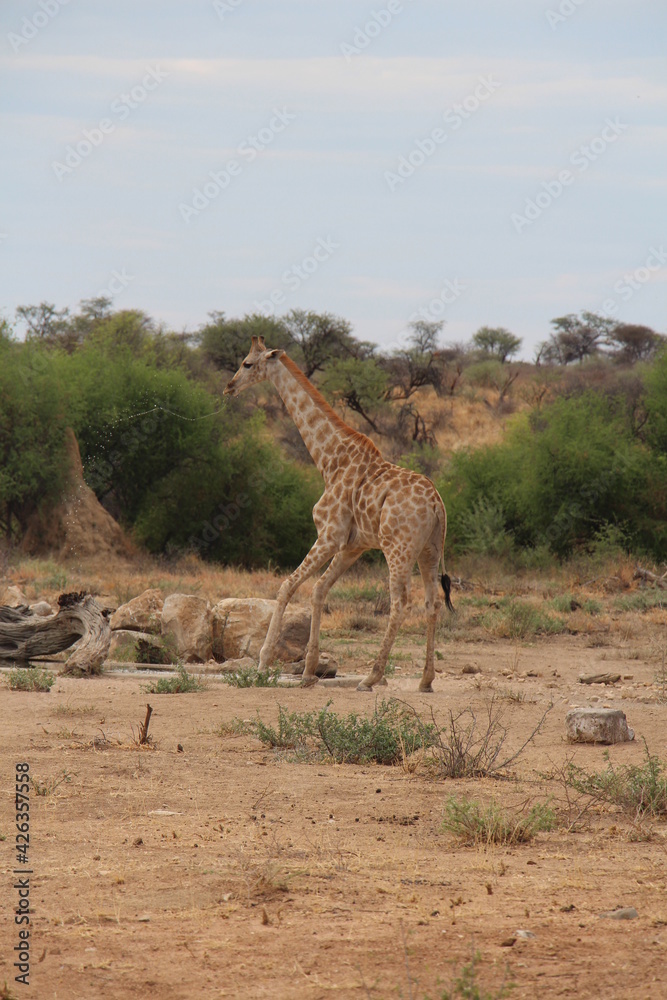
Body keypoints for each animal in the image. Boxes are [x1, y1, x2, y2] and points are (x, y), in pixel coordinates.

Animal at [223, 336, 454, 692]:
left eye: (247, 363)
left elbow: (287, 586)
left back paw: (371, 677)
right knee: (433, 602)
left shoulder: (329, 535)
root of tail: (437, 505)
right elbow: (319, 590)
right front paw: (308, 672)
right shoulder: (351, 546)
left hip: (398, 548)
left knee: (400, 602)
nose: (230, 387)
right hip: (429, 551)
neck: (329, 459)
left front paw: (263, 664)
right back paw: (426, 680)